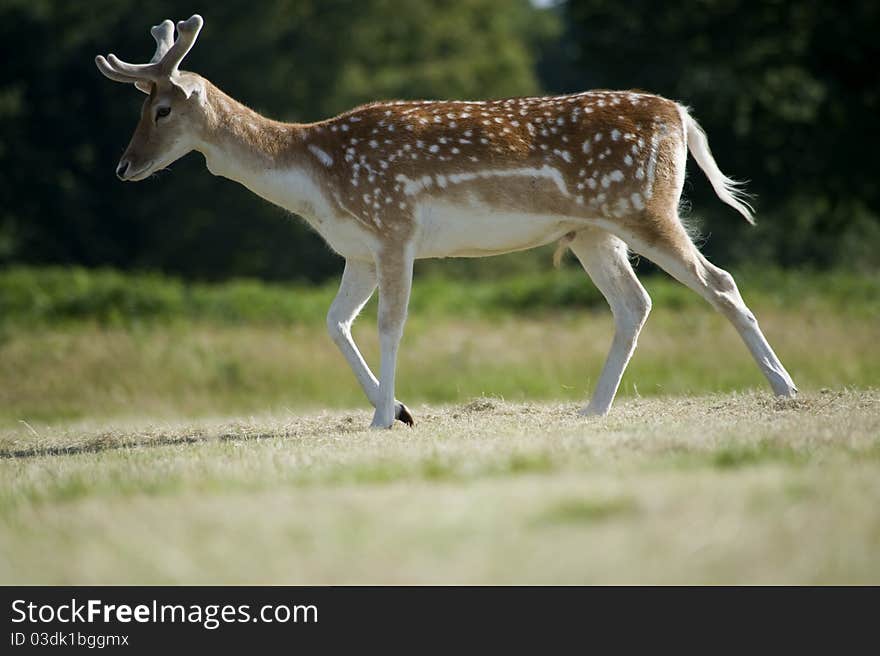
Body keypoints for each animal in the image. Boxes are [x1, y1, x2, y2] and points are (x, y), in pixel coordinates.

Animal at [94, 15, 796, 428]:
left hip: (643, 207)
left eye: (160, 109)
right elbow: (334, 323)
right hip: (591, 230)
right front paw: (399, 410)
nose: (124, 166)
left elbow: (390, 324)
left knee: (718, 281)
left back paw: (785, 389)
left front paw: (385, 418)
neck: (316, 178)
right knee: (634, 303)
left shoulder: (394, 225)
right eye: (140, 107)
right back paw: (591, 408)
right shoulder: (356, 248)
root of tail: (682, 116)